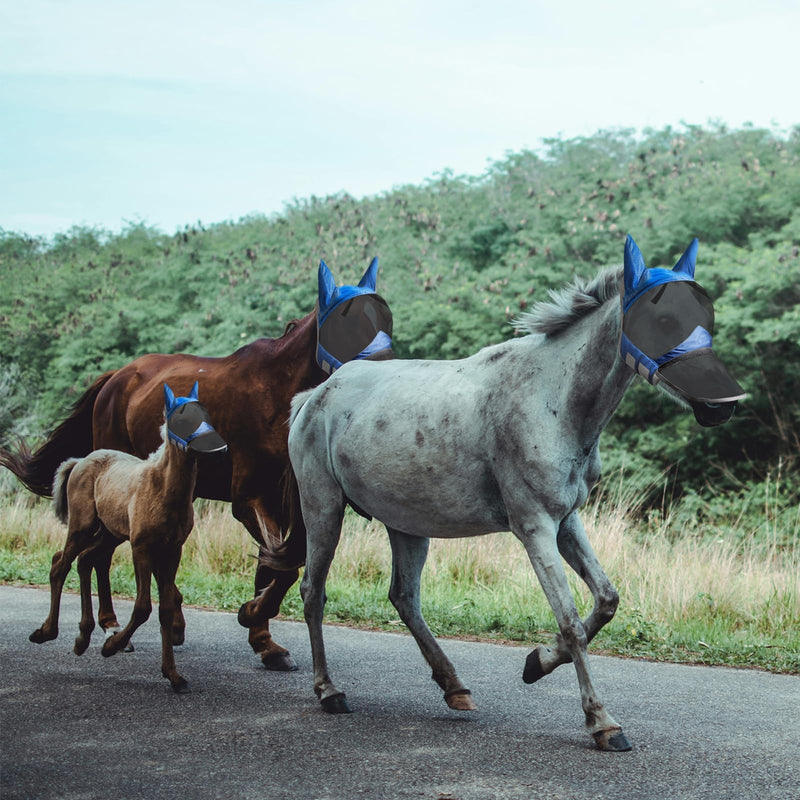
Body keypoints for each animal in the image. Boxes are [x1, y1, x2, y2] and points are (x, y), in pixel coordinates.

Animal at [30, 382, 227, 692]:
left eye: (207, 414)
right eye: (181, 418)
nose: (219, 449)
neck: (162, 490)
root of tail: (80, 461)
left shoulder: (173, 550)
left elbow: (165, 608)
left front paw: (174, 675)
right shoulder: (141, 547)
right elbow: (144, 606)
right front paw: (111, 646)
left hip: (108, 532)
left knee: (83, 560)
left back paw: (82, 637)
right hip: (82, 525)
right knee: (60, 564)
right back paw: (46, 632)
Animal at [286, 236, 744, 751]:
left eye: (705, 315)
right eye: (663, 320)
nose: (722, 406)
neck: (552, 399)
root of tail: (314, 396)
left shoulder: (566, 521)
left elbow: (606, 600)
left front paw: (537, 662)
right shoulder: (534, 527)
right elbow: (570, 619)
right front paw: (602, 721)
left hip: (406, 524)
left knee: (404, 598)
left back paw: (455, 687)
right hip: (323, 509)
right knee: (313, 591)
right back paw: (329, 690)